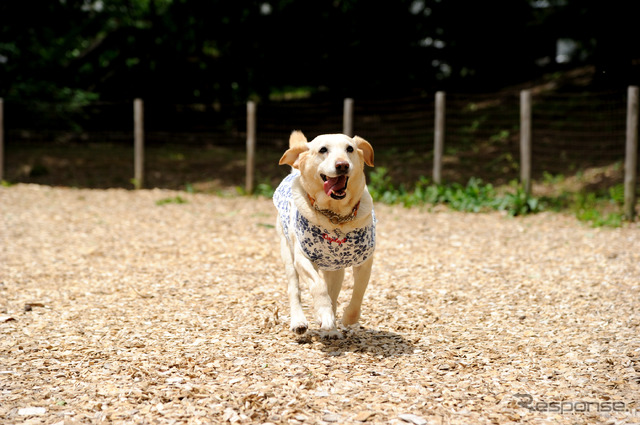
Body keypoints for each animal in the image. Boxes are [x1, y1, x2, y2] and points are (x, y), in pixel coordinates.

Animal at [274, 131, 376, 336]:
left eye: (350, 148)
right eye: (323, 150)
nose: (342, 165)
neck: (335, 216)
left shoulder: (364, 262)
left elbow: (358, 292)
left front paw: (347, 319)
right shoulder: (302, 258)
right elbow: (318, 286)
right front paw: (324, 314)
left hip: (335, 269)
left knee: (333, 293)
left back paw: (331, 329)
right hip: (287, 252)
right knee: (294, 289)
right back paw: (299, 321)